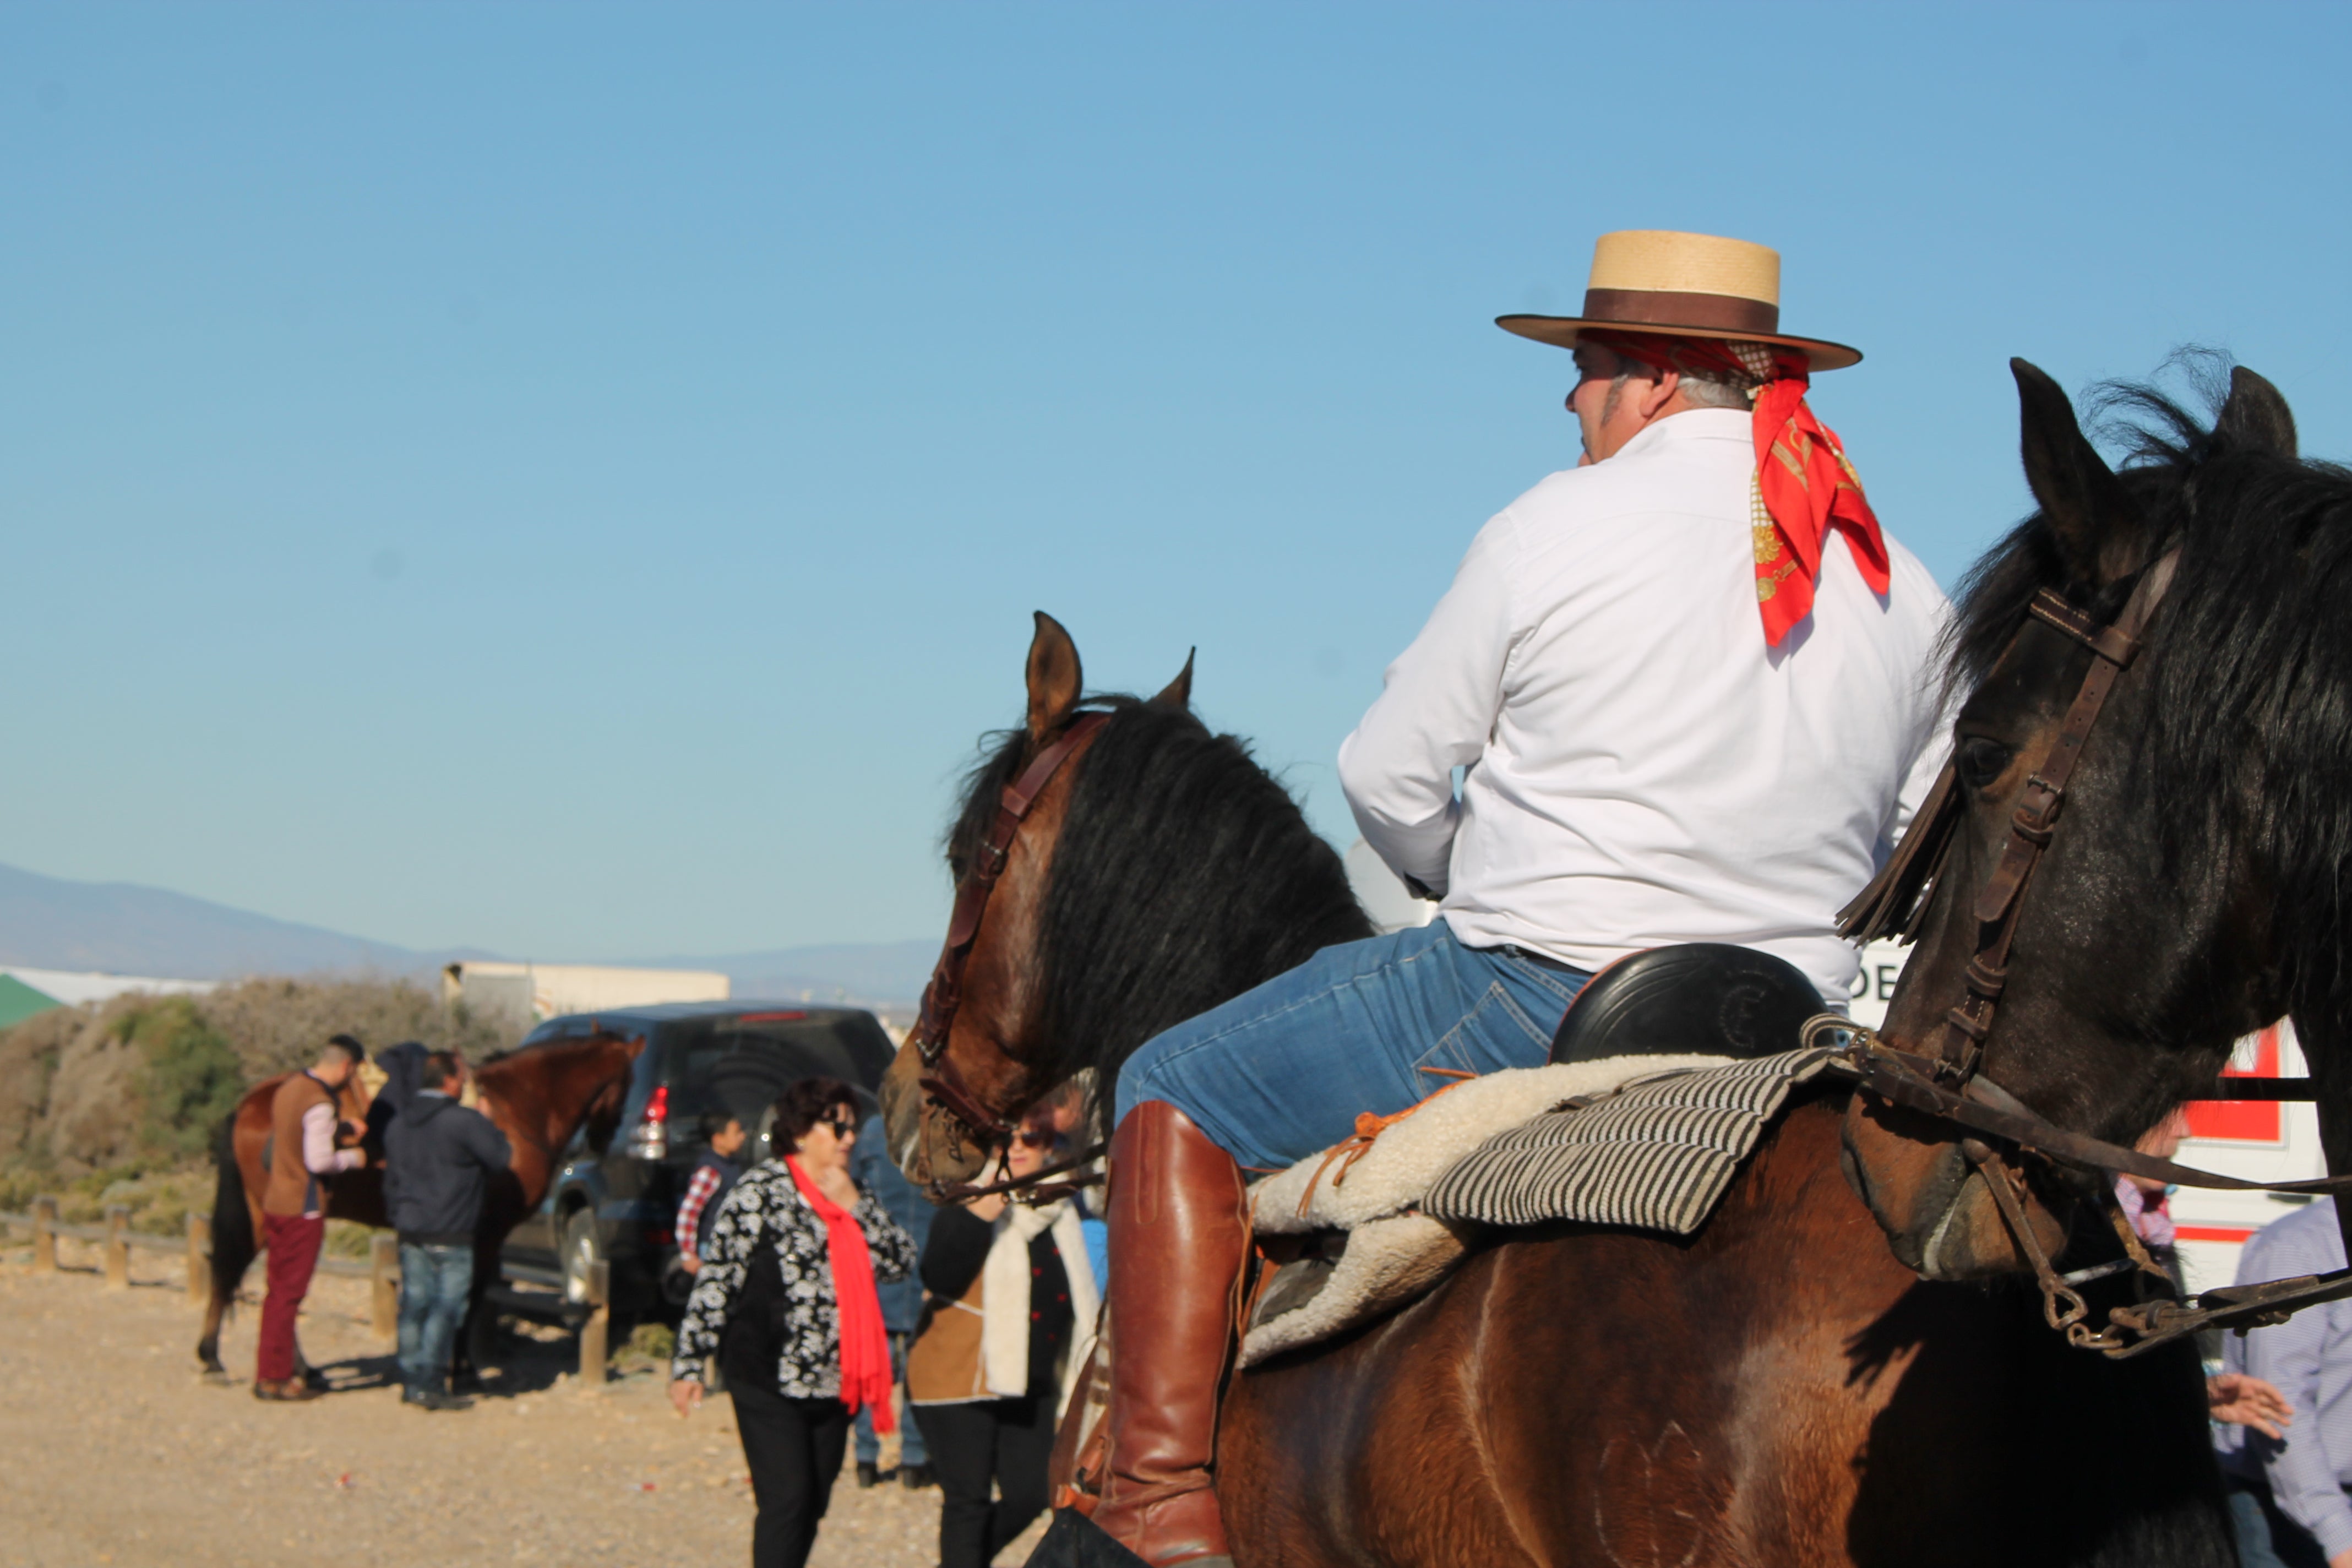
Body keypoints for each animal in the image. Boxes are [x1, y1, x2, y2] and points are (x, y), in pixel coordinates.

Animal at [196, 1034, 639, 1382]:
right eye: (630, 1081)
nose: (604, 1139)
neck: (516, 1110)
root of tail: (250, 1104)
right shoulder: (485, 1234)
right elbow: (468, 1298)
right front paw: (462, 1370)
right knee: (257, 1281)